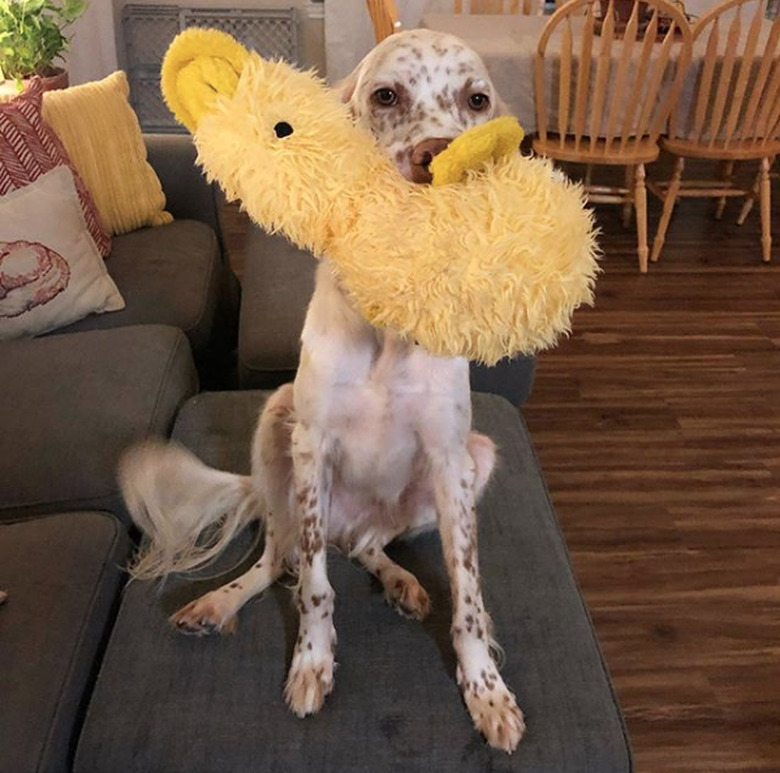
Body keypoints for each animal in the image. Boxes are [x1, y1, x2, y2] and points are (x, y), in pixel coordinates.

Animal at [120, 30, 524, 752]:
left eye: (477, 100)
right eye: (386, 95)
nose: (437, 159)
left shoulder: (452, 458)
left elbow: (470, 598)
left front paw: (486, 691)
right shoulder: (312, 445)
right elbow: (312, 584)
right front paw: (313, 662)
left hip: (477, 458)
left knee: (366, 544)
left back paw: (401, 581)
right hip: (275, 424)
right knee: (280, 555)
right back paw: (217, 602)